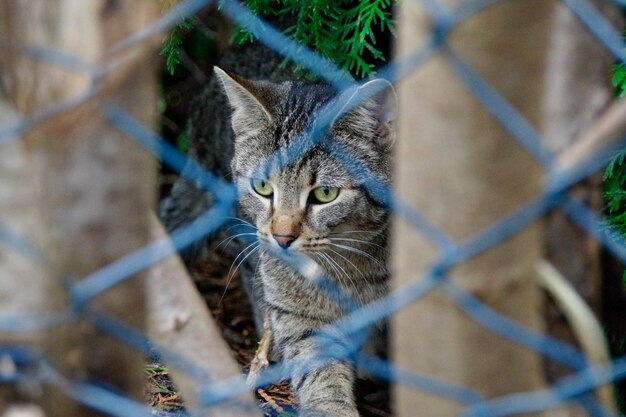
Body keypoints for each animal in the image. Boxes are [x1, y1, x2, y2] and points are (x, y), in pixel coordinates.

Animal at [161, 40, 394, 414]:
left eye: (325, 194)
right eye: (262, 187)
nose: (282, 236)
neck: (353, 265)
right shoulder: (303, 318)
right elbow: (320, 373)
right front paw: (330, 407)